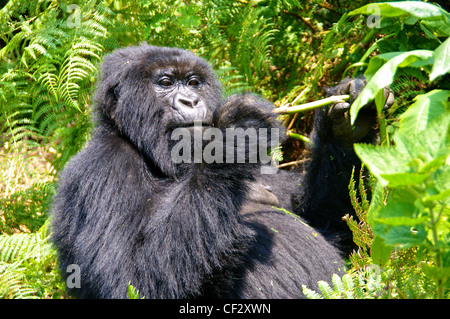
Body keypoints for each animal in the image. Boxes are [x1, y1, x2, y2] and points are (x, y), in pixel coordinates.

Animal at [51, 43, 390, 298]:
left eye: (193, 82)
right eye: (165, 83)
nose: (190, 100)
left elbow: (333, 224)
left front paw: (346, 123)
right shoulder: (103, 167)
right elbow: (131, 279)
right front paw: (233, 137)